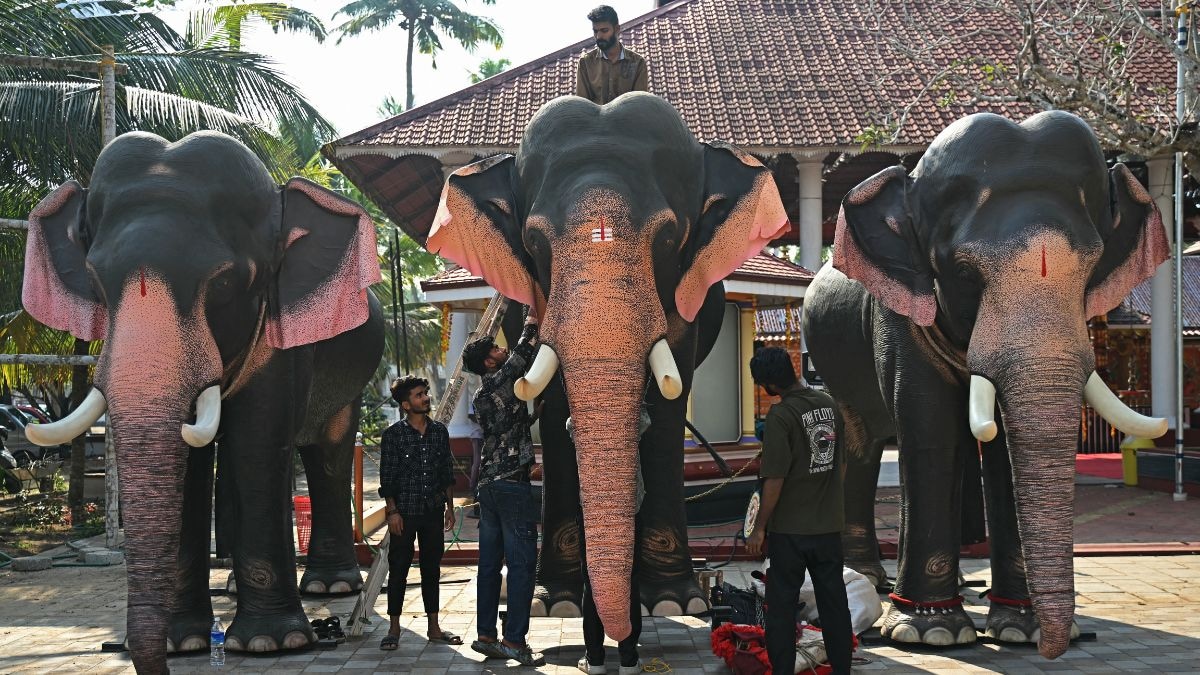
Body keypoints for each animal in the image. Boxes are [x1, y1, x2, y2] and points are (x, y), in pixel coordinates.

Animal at [22, 128, 384, 667]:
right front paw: (182, 643)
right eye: (96, 281)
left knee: (327, 453)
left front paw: (269, 643)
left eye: (225, 281)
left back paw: (330, 586)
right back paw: (235, 586)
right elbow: (195, 463)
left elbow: (258, 442)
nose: (133, 651)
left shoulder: (281, 341)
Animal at [429, 93, 787, 634]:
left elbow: (668, 407)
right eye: (534, 244)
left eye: (668, 239)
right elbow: (554, 408)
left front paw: (675, 602)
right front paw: (554, 604)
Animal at [801, 112, 1166, 658]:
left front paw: (1020, 630)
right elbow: (931, 430)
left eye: (1091, 271)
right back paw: (870, 579)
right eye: (963, 272)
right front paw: (930, 633)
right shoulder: (900, 318)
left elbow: (1001, 452)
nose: (1057, 646)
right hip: (833, 358)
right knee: (863, 443)